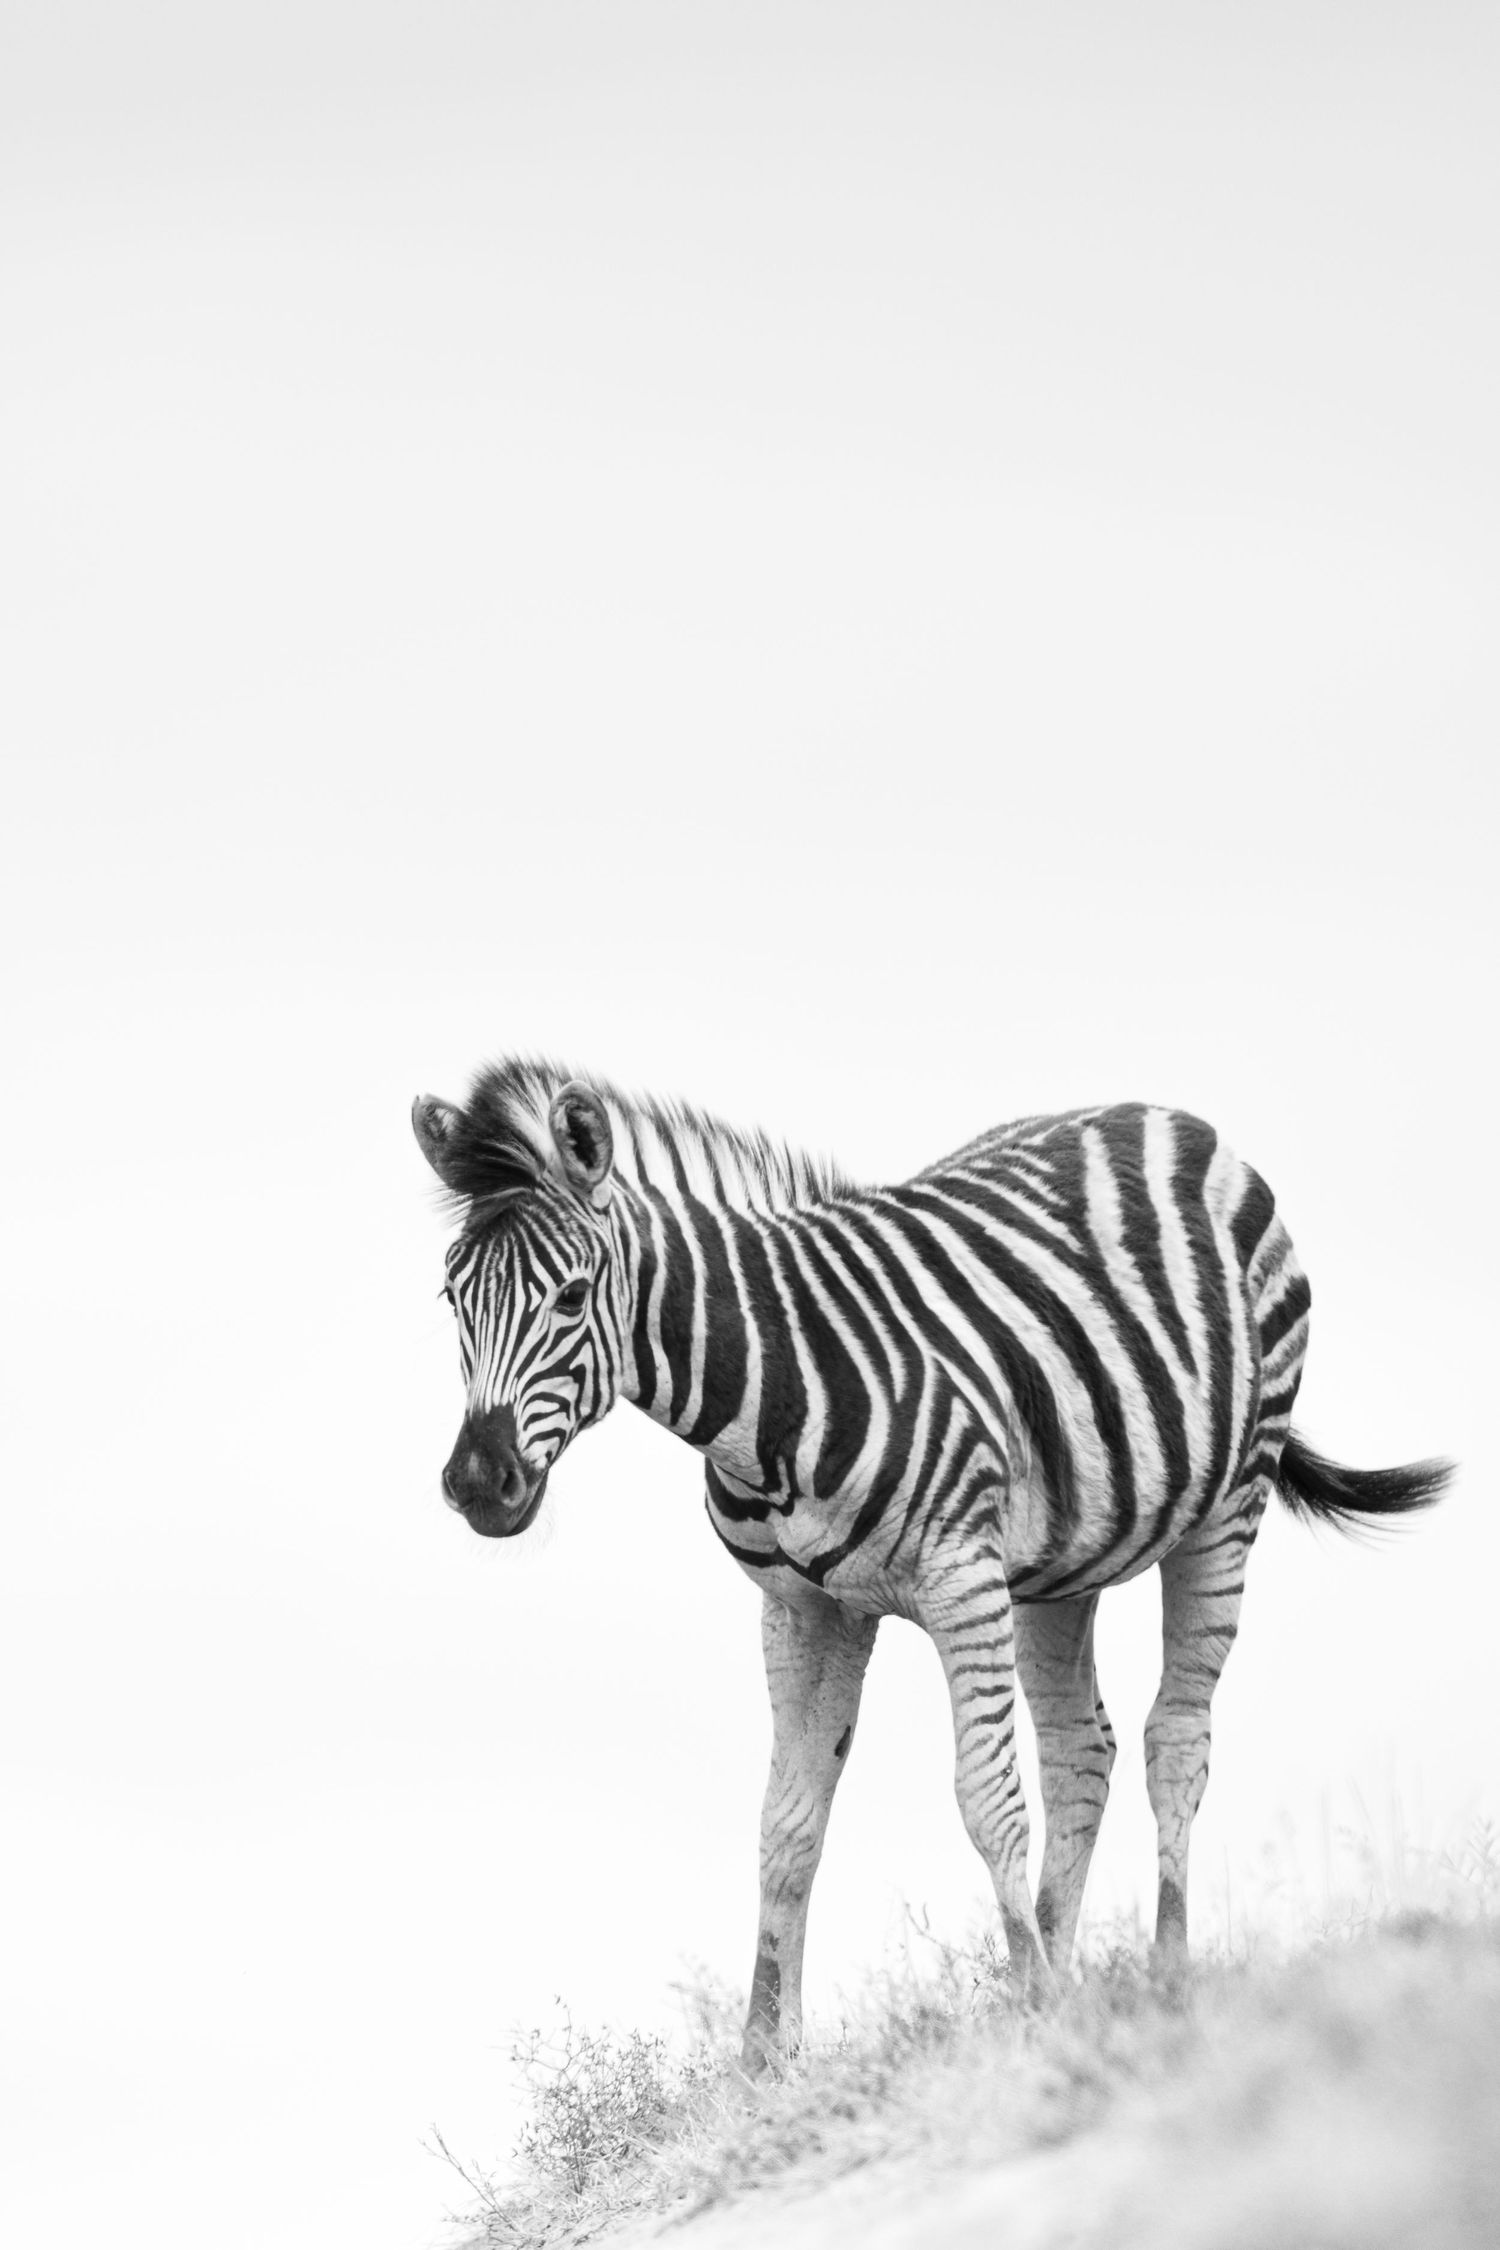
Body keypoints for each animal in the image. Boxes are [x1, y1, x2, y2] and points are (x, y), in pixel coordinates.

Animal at [412, 1059, 1451, 2063]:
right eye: (453, 1300)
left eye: (570, 1296)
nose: (477, 1483)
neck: (772, 1395)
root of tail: (1165, 1115)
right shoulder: (803, 1607)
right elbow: (787, 1824)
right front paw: (763, 2065)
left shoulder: (960, 1580)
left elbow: (986, 1799)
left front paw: (1027, 2009)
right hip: (1058, 1569)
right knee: (1083, 1752)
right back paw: (1072, 1973)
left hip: (1227, 1506)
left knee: (1176, 1740)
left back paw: (1163, 1974)